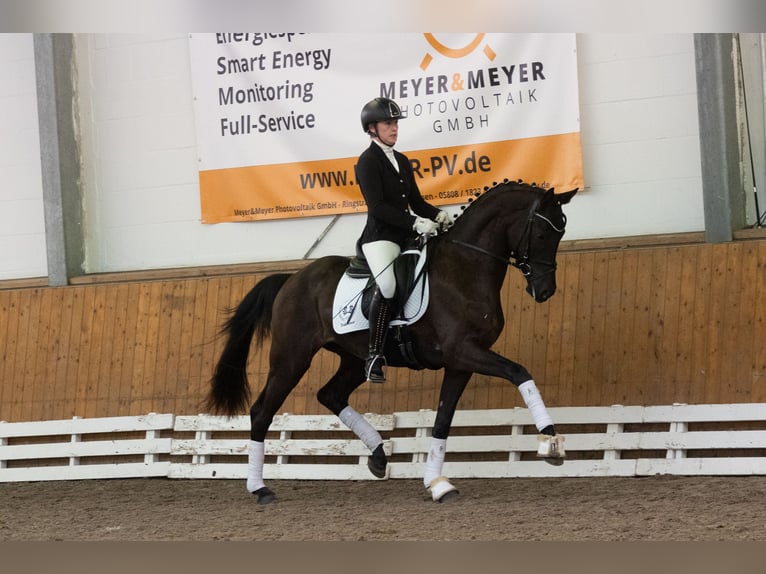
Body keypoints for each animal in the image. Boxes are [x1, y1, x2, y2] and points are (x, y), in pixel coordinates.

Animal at [207, 180, 580, 504]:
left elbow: (442, 421)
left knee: (331, 394)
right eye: (543, 233)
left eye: (561, 232)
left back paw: (378, 455)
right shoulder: (465, 351)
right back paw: (260, 488)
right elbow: (519, 372)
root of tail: (292, 279)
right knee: (262, 412)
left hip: (354, 358)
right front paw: (551, 441)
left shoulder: (460, 363)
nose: (545, 291)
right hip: (292, 357)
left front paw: (437, 484)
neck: (465, 267)